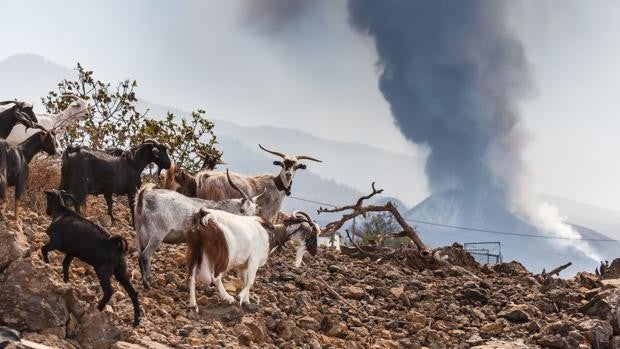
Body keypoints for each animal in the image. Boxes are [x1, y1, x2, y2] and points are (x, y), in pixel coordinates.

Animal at [41, 189, 141, 324]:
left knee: (109, 291)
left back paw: (98, 308)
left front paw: (47, 264)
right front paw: (65, 281)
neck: (62, 213)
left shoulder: (55, 243)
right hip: (120, 272)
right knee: (132, 292)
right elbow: (65, 264)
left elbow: (44, 249)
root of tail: (116, 246)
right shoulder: (71, 253)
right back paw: (136, 321)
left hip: (102, 271)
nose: (47, 211)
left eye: (47, 198)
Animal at [133, 170, 264, 286]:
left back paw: (144, 282)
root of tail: (142, 199)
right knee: (145, 255)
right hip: (157, 235)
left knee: (140, 255)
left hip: (140, 234)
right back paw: (151, 283)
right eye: (242, 210)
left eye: (254, 212)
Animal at [186, 207, 318, 310]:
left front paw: (247, 301)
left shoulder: (243, 265)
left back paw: (193, 305)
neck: (271, 234)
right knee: (216, 277)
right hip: (223, 254)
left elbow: (245, 281)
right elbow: (250, 282)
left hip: (194, 250)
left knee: (191, 277)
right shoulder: (254, 260)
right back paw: (228, 298)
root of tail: (203, 218)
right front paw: (239, 297)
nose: (315, 251)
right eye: (313, 234)